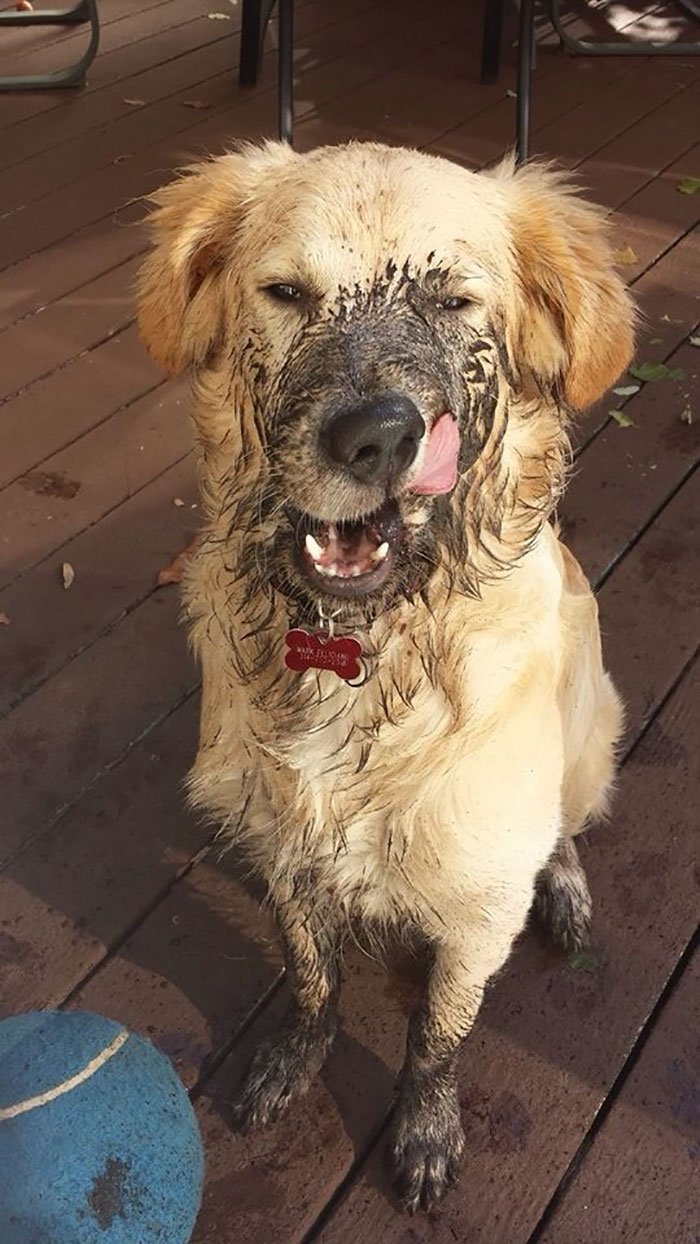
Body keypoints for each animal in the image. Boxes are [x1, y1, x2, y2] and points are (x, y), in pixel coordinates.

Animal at [138, 138, 636, 1214]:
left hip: (592, 737)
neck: (362, 655)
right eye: (285, 291)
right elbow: (310, 972)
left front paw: (426, 1130)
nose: (374, 438)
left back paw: (567, 887)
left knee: (569, 828)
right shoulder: (282, 846)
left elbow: (437, 1034)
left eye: (453, 300)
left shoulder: (479, 905)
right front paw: (294, 1055)